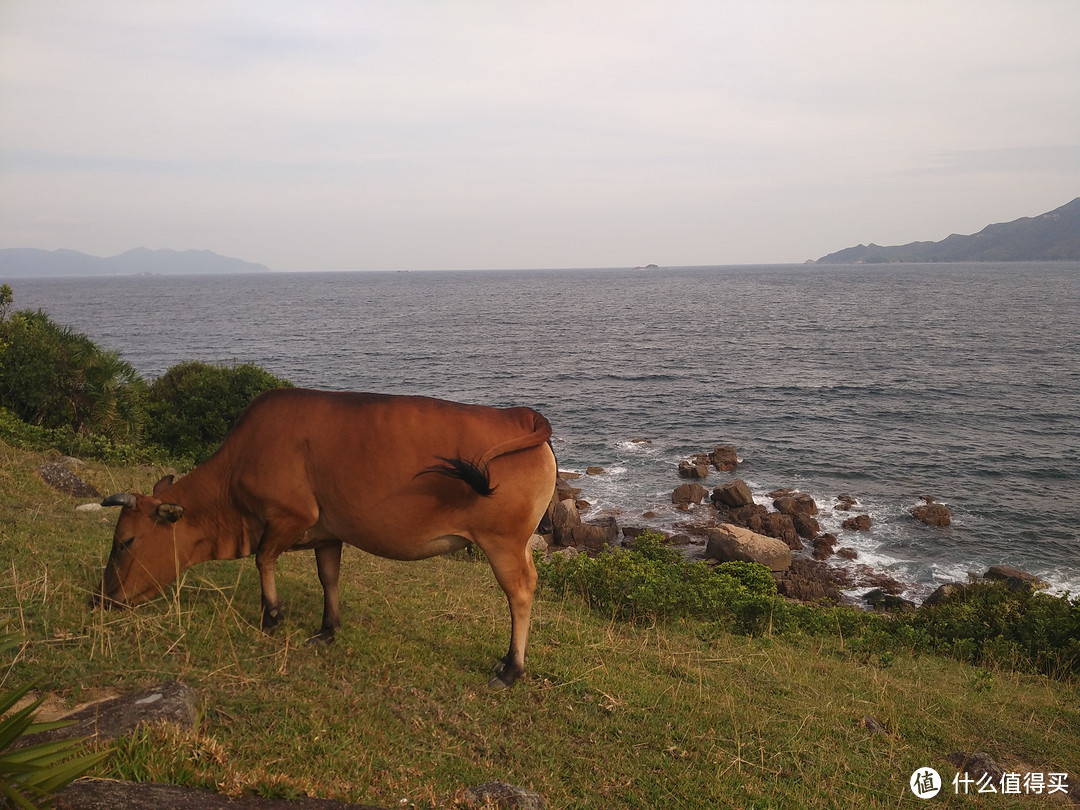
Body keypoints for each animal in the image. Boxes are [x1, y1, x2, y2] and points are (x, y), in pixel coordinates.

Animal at [97, 390, 557, 686]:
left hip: (502, 541)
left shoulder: (291, 515)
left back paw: (512, 669)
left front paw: (271, 616)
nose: (102, 598)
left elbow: (263, 558)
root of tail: (521, 415)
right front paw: (327, 629)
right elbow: (328, 577)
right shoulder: (327, 531)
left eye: (126, 541)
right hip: (512, 542)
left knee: (519, 592)